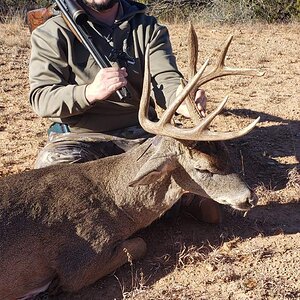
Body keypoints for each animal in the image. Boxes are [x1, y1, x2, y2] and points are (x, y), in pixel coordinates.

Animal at [0, 24, 262, 298]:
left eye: (227, 155)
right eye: (203, 168)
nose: (250, 198)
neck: (115, 202)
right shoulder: (79, 260)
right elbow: (139, 244)